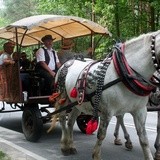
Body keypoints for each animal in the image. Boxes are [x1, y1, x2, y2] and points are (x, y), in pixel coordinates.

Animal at [53, 30, 160, 160]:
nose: (157, 94)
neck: (125, 74)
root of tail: (67, 63)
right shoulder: (106, 111)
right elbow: (101, 135)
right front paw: (96, 155)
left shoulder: (139, 111)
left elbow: (143, 138)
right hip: (63, 98)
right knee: (62, 118)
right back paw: (64, 146)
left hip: (78, 104)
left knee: (71, 121)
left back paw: (71, 145)